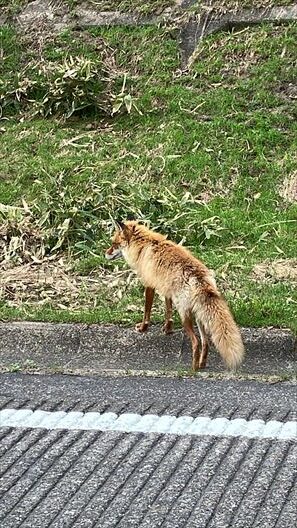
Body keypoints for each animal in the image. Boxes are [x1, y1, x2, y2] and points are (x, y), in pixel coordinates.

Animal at [105, 221, 244, 370]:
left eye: (114, 244)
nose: (105, 254)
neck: (143, 246)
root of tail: (199, 277)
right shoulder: (167, 289)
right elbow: (168, 311)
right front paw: (168, 329)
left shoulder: (149, 284)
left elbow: (147, 311)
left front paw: (143, 328)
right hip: (198, 316)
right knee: (205, 342)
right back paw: (201, 364)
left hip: (185, 315)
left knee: (196, 342)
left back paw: (193, 368)